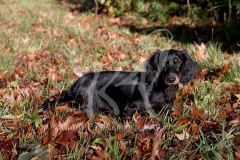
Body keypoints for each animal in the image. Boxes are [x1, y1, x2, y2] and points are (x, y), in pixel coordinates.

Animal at [39, 49, 197, 117]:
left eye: (178, 62)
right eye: (163, 63)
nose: (171, 78)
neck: (163, 88)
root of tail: (77, 82)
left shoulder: (165, 109)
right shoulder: (132, 106)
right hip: (90, 105)